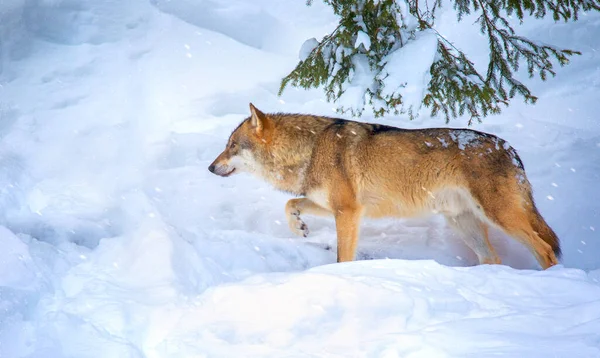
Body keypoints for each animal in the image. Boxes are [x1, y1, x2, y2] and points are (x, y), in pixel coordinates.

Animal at [209, 103, 560, 268]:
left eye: (232, 146)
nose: (211, 167)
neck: (310, 149)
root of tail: (511, 150)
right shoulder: (333, 205)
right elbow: (289, 204)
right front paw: (299, 228)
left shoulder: (348, 211)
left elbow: (343, 257)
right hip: (464, 223)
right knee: (494, 258)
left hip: (500, 216)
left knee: (545, 250)